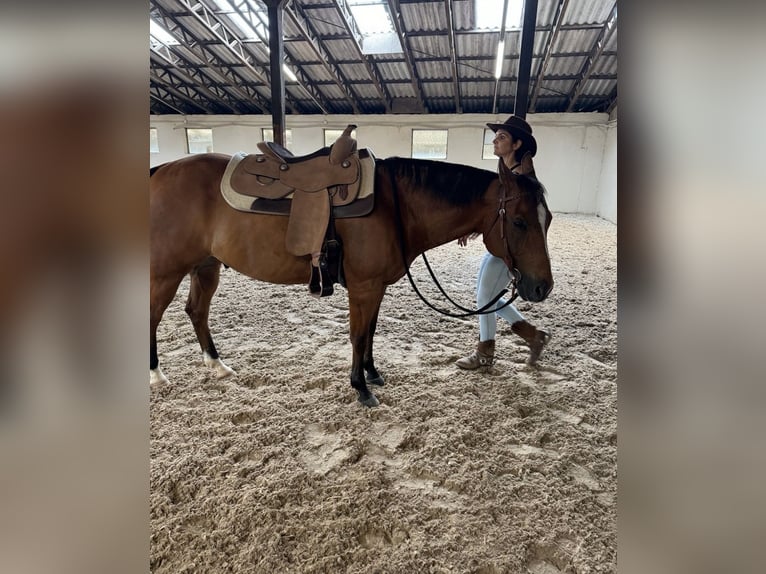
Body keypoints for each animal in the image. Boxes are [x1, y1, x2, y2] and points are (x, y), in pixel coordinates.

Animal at [150, 150, 553, 407]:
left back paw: (216, 365)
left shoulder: (375, 288)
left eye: (546, 220)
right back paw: (156, 375)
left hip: (205, 267)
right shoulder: (363, 287)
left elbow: (370, 332)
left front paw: (372, 374)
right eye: (519, 222)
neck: (396, 206)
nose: (542, 286)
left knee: (197, 312)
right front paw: (361, 388)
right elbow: (358, 335)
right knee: (154, 317)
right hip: (167, 272)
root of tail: (161, 170)